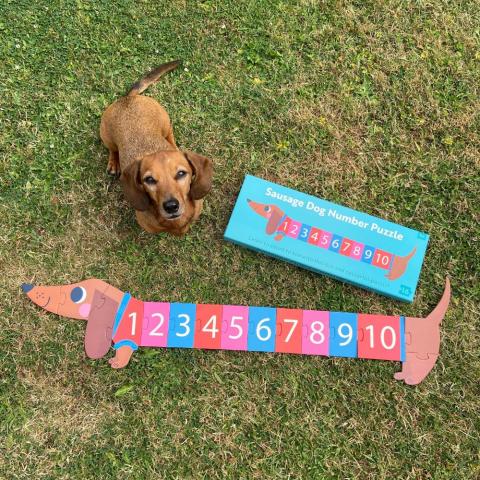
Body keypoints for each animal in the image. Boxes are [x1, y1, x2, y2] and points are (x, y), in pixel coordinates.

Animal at [99, 60, 212, 236]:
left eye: (181, 173)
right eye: (149, 180)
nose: (171, 206)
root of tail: (129, 98)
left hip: (166, 122)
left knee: (170, 136)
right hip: (106, 135)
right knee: (113, 149)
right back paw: (113, 163)